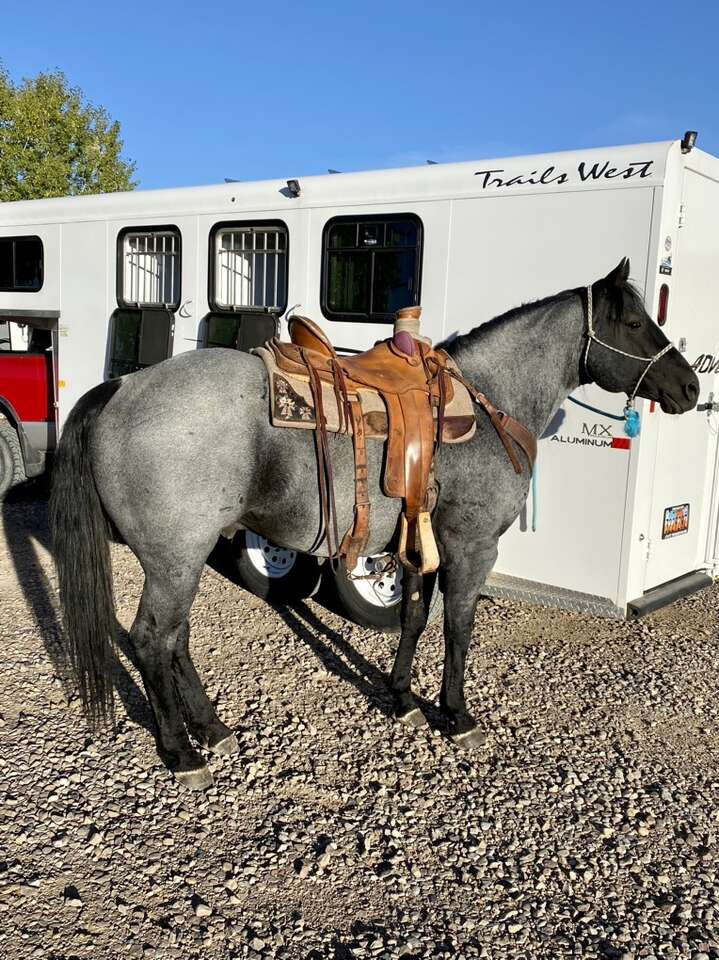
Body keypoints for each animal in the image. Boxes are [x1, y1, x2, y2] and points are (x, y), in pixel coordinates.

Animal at [50, 259, 699, 789]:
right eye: (635, 323)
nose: (690, 387)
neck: (487, 404)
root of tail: (121, 388)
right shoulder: (471, 548)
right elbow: (458, 629)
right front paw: (456, 716)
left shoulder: (417, 544)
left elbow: (413, 618)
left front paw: (401, 697)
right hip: (175, 558)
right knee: (151, 639)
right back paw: (183, 753)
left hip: (182, 557)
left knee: (174, 639)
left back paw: (211, 729)